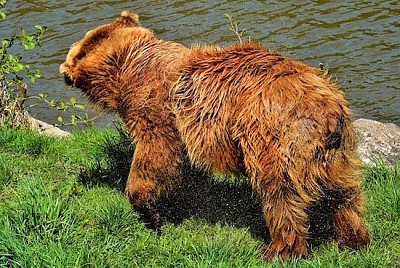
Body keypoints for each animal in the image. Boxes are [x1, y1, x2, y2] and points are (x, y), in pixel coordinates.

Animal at [60, 11, 372, 260]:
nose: (63, 71)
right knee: (346, 194)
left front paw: (149, 210)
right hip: (338, 152)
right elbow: (186, 170)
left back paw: (278, 249)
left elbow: (154, 157)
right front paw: (179, 205)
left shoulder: (157, 111)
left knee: (279, 193)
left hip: (273, 135)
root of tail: (328, 109)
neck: (127, 67)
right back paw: (353, 238)